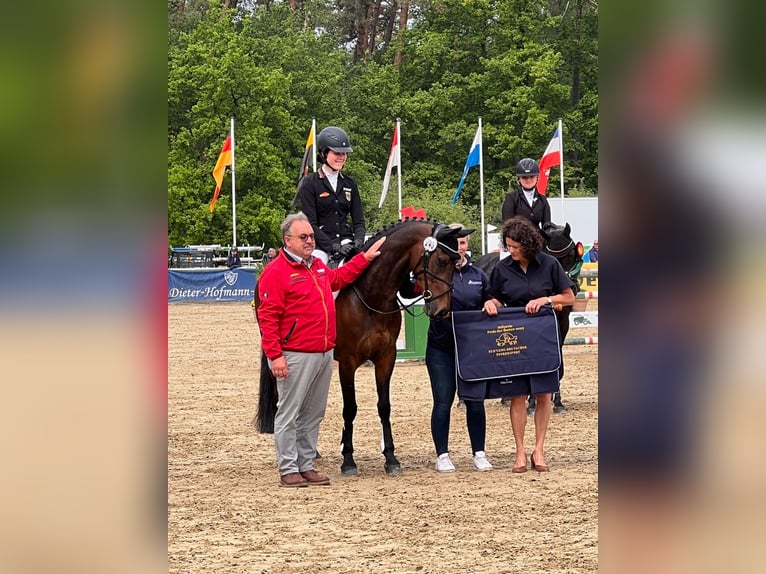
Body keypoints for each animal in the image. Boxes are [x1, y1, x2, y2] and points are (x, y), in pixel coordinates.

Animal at [256, 219, 462, 476]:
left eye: (457, 264)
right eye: (442, 260)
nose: (441, 310)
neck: (371, 294)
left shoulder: (386, 358)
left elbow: (384, 406)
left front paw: (391, 458)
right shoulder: (348, 362)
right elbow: (350, 408)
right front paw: (348, 460)